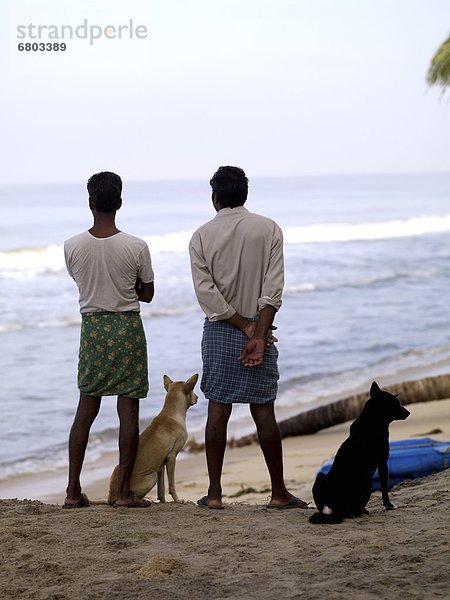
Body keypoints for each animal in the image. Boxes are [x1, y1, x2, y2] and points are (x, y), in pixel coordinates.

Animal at [108, 372, 198, 504]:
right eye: (192, 390)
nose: (197, 397)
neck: (171, 413)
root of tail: (111, 497)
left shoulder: (161, 464)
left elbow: (161, 488)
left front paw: (163, 501)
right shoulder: (172, 458)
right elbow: (171, 484)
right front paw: (178, 500)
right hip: (151, 477)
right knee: (137, 495)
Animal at [312, 382, 410, 524]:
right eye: (395, 403)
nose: (409, 412)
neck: (372, 420)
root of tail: (336, 509)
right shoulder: (382, 463)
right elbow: (384, 488)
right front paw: (389, 505)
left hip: (320, 477)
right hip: (367, 482)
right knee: (353, 511)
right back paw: (361, 511)